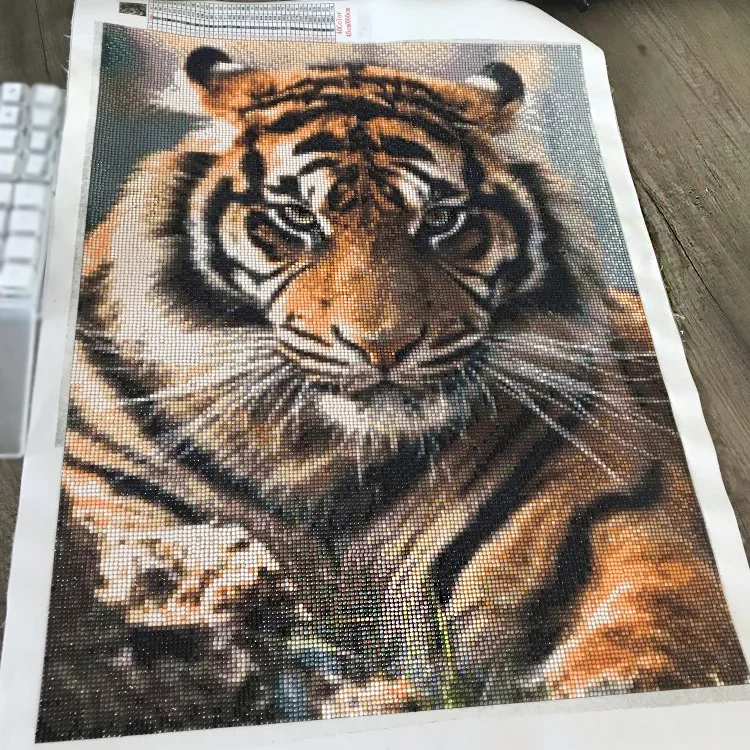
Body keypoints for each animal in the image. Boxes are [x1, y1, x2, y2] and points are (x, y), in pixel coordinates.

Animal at [38, 46, 747, 739]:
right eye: (296, 218)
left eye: (442, 220)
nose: (384, 345)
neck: (316, 453)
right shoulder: (120, 510)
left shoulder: (631, 519)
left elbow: (646, 643)